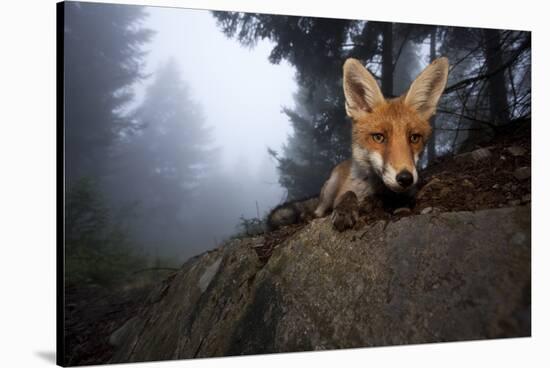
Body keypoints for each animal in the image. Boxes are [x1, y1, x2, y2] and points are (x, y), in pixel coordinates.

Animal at [316, 56, 450, 220]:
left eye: (414, 138)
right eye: (379, 137)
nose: (405, 178)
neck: (378, 190)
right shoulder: (344, 192)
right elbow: (348, 194)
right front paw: (344, 210)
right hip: (329, 190)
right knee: (318, 210)